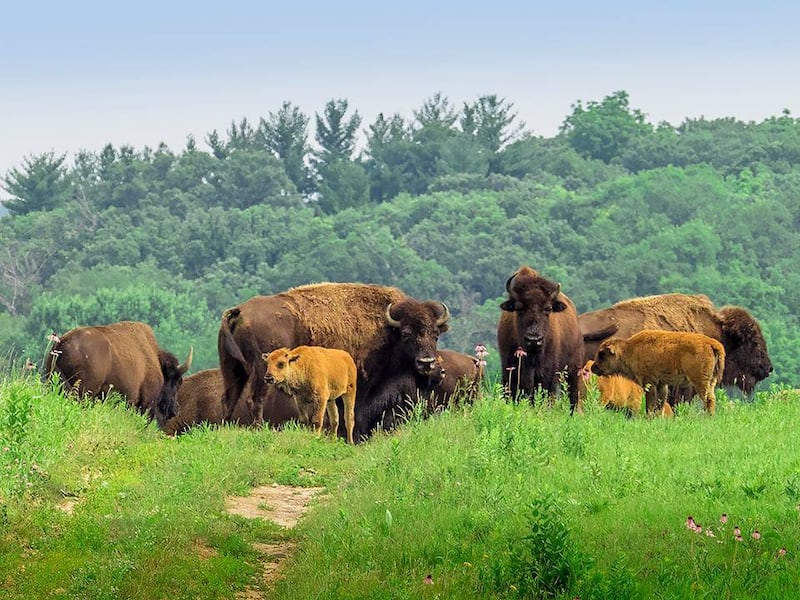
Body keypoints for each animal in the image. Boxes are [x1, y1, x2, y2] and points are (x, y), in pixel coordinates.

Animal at [218, 282, 450, 441]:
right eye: (406, 334)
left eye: (436, 334)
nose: (428, 363)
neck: (387, 329)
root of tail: (239, 311)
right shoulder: (360, 384)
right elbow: (351, 412)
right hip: (263, 373)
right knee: (254, 400)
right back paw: (258, 430)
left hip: (233, 370)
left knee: (229, 399)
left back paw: (225, 428)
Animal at [497, 266, 583, 413]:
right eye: (519, 308)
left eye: (548, 309)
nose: (534, 339)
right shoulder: (509, 368)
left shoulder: (550, 372)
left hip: (573, 368)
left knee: (573, 394)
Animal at [591, 330, 725, 415]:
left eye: (602, 354)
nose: (593, 367)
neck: (630, 349)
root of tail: (712, 343)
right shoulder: (661, 384)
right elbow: (659, 404)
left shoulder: (649, 383)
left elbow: (650, 405)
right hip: (711, 381)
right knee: (712, 398)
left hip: (700, 381)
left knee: (708, 399)